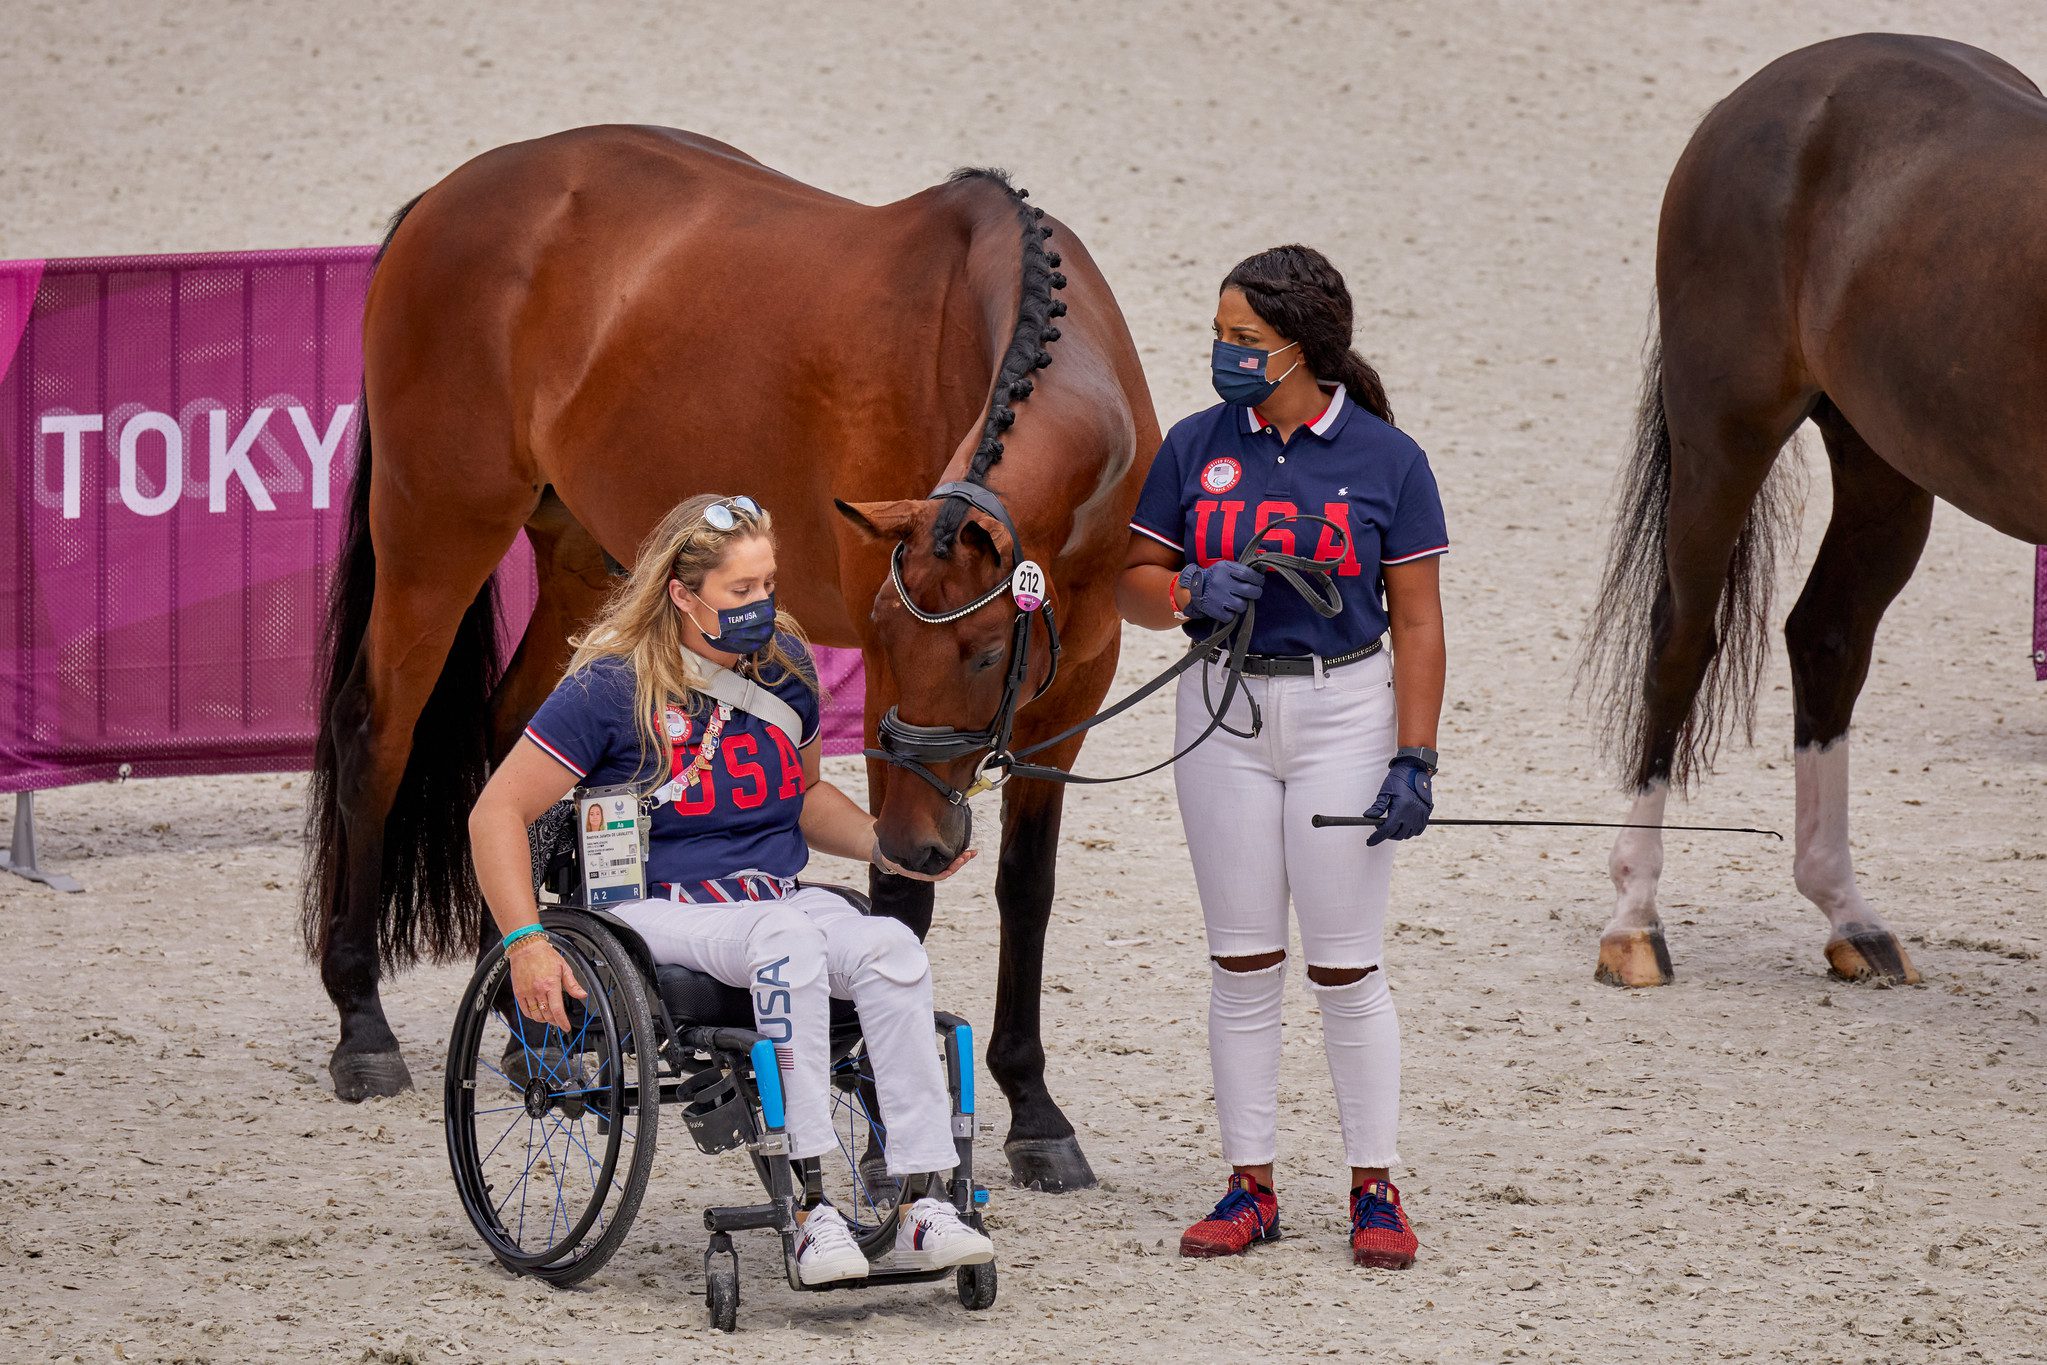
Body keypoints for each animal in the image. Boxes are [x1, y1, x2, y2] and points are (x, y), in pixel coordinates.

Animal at [309, 127, 1162, 1195]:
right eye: (882, 640)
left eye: (981, 654)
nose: (927, 836)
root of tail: (449, 194)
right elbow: (899, 899)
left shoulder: (1078, 678)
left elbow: (1026, 889)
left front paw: (1034, 1108)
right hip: (437, 527)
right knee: (374, 732)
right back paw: (361, 1021)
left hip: (584, 550)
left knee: (518, 736)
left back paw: (535, 1019)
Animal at [1580, 34, 2046, 994]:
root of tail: (1786, 81)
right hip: (1724, 436)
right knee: (1680, 637)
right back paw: (1633, 917)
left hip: (1883, 460)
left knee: (1826, 635)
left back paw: (1848, 913)